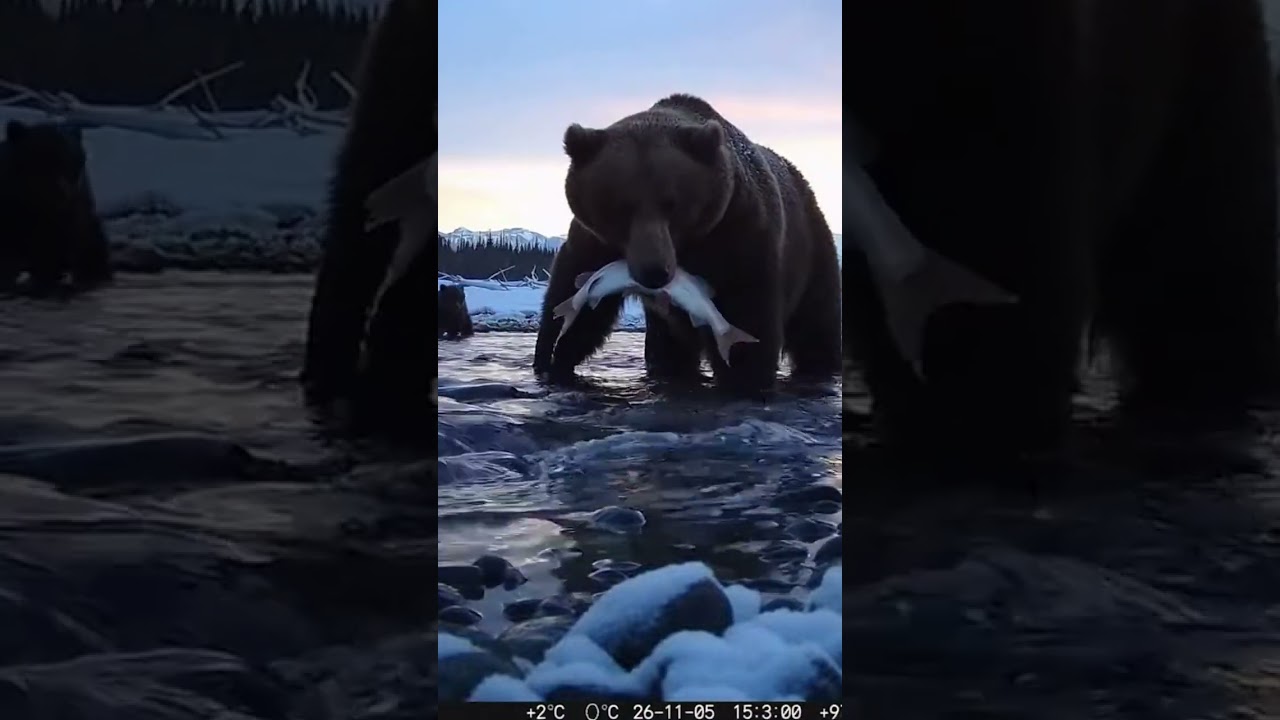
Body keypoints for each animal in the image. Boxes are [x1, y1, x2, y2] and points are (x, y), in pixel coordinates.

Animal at [532, 94, 842, 395]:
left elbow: (748, 315)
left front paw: (745, 378)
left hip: (813, 252)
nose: (654, 271)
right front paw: (552, 358)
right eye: (620, 207)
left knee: (817, 329)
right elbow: (575, 299)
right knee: (668, 350)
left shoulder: (739, 236)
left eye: (672, 204)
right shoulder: (595, 241)